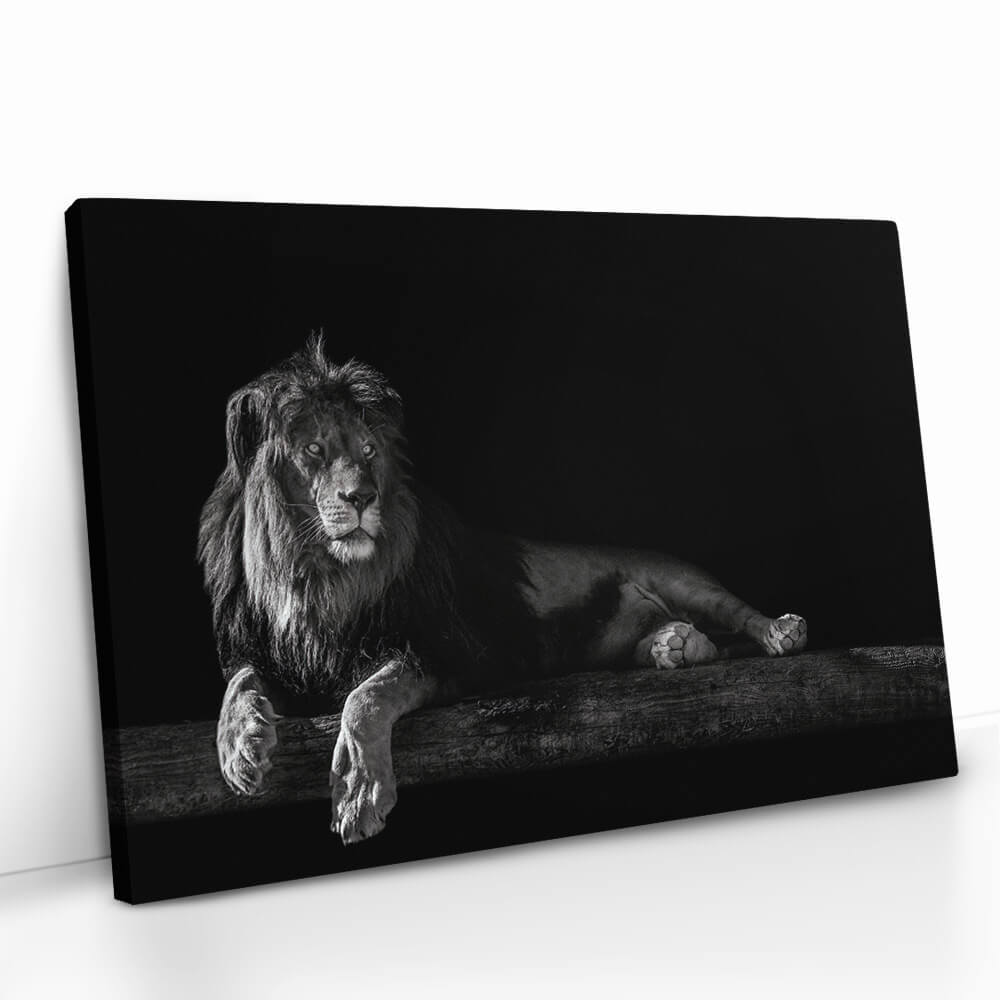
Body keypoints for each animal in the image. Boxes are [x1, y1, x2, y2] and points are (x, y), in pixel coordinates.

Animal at [198, 337, 807, 843]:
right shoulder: (274, 653)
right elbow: (240, 681)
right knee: (694, 643)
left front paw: (358, 792)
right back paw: (675, 645)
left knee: (737, 615)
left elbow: (365, 697)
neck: (319, 577)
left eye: (369, 452)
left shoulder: (451, 652)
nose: (362, 498)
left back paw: (778, 632)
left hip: (684, 579)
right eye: (315, 451)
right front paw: (240, 747)